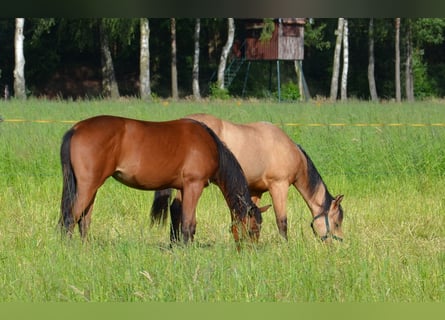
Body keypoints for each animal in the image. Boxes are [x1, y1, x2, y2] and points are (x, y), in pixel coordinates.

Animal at [58, 115, 268, 245]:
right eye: (253, 229)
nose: (250, 251)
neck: (210, 145)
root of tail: (76, 128)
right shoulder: (194, 185)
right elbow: (188, 223)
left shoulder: (183, 188)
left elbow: (180, 218)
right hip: (88, 186)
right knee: (70, 218)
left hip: (91, 187)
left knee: (84, 220)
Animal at [150, 114, 344, 241]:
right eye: (337, 222)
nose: (338, 245)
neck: (288, 150)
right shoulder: (279, 186)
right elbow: (281, 221)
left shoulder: (256, 190)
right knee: (177, 208)